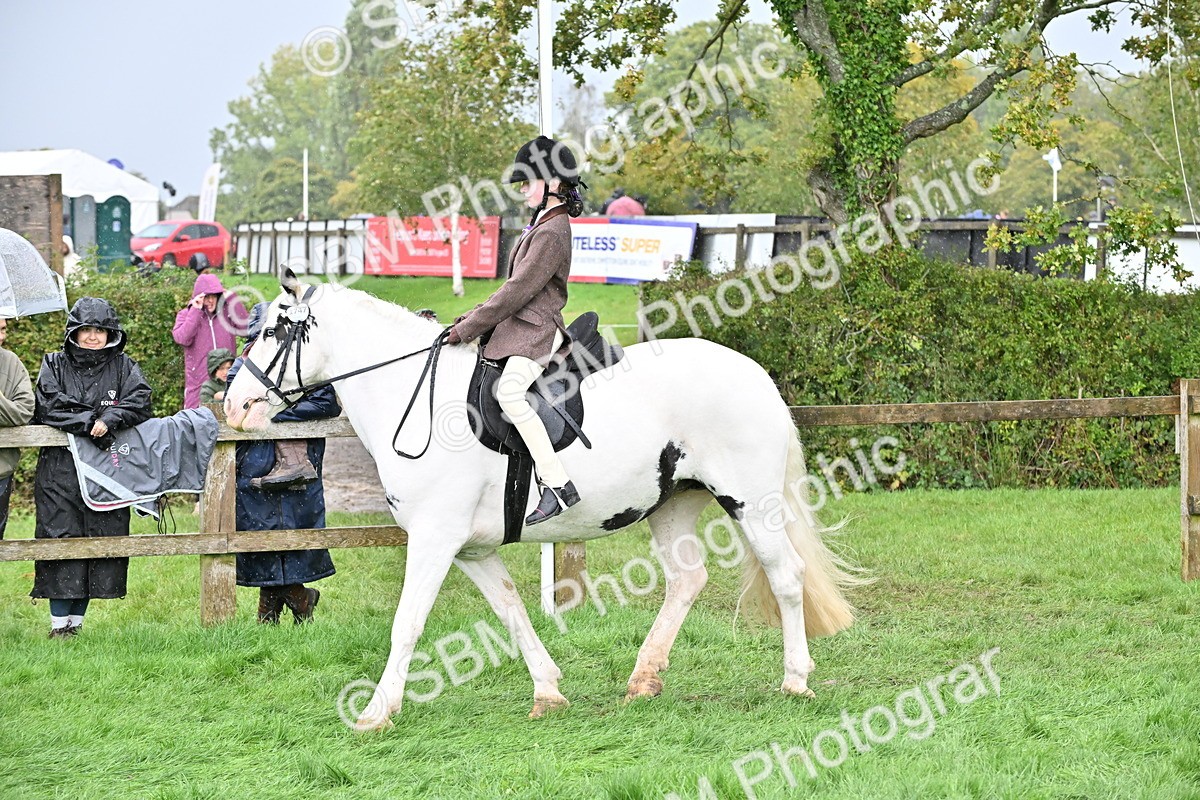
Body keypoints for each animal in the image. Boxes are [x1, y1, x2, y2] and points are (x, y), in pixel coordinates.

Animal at [224, 273, 863, 731]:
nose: (232, 406)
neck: (418, 397)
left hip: (751, 502)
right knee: (687, 580)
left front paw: (375, 712)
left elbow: (407, 623)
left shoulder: (434, 540)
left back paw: (795, 679)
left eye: (275, 332)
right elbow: (511, 610)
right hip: (671, 505)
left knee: (786, 576)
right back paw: (644, 678)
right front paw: (548, 691)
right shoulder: (470, 550)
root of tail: (755, 374)